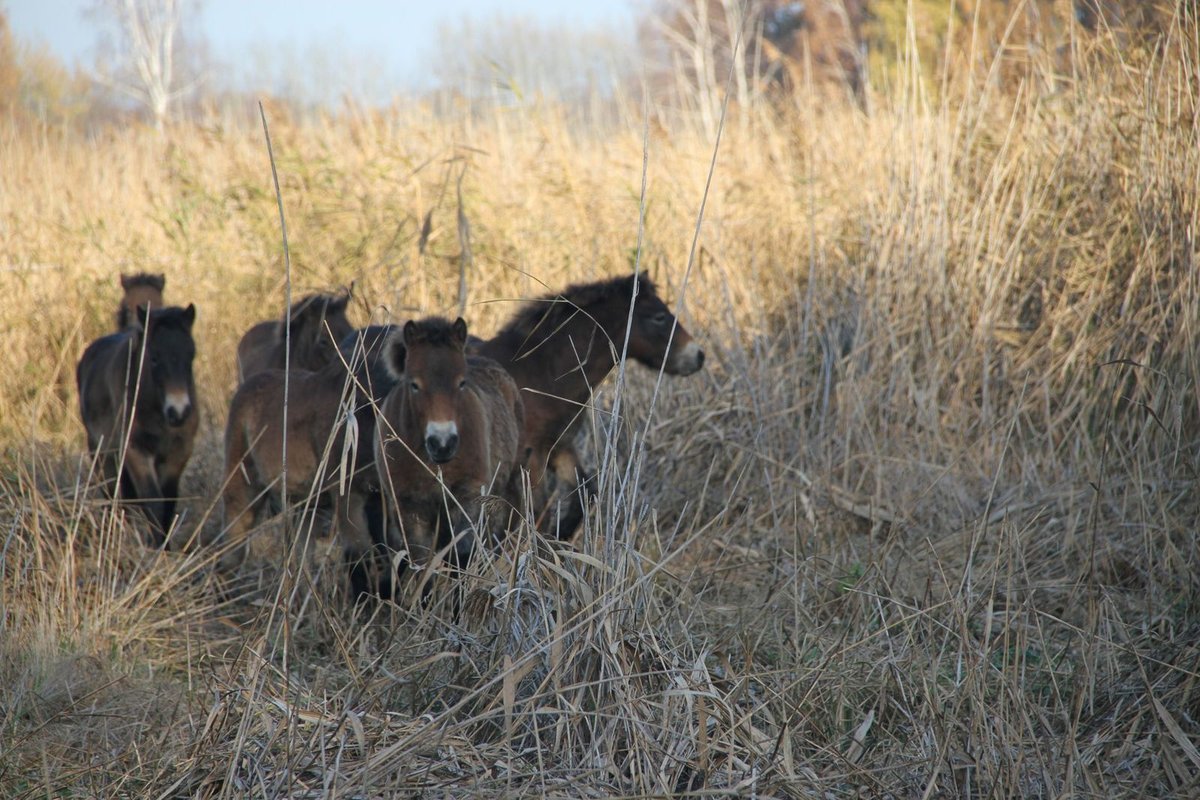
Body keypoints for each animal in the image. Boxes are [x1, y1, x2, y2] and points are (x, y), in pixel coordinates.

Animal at [78, 302, 199, 544]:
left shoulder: (179, 452)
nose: (179, 411)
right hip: (102, 453)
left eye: (191, 355)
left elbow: (168, 502)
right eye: (154, 357)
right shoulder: (135, 451)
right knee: (113, 497)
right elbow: (152, 501)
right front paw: (156, 547)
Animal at [374, 316, 525, 592]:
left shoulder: (468, 497)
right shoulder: (410, 507)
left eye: (461, 383)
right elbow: (422, 566)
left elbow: (462, 558)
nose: (442, 443)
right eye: (414, 384)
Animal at [475, 272, 705, 542]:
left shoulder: (559, 447)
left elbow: (584, 494)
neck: (540, 372)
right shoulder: (531, 457)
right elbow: (537, 513)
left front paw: (560, 537)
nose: (698, 356)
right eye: (659, 317)